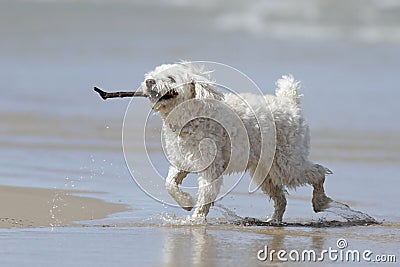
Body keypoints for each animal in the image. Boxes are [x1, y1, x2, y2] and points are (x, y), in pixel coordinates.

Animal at [142, 62, 332, 222]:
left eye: (171, 78)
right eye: (154, 74)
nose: (149, 81)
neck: (192, 115)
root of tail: (290, 104)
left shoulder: (211, 166)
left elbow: (205, 194)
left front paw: (196, 219)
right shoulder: (183, 161)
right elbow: (169, 183)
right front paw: (186, 202)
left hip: (286, 164)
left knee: (318, 172)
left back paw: (319, 201)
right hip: (264, 171)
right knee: (281, 197)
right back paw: (274, 220)